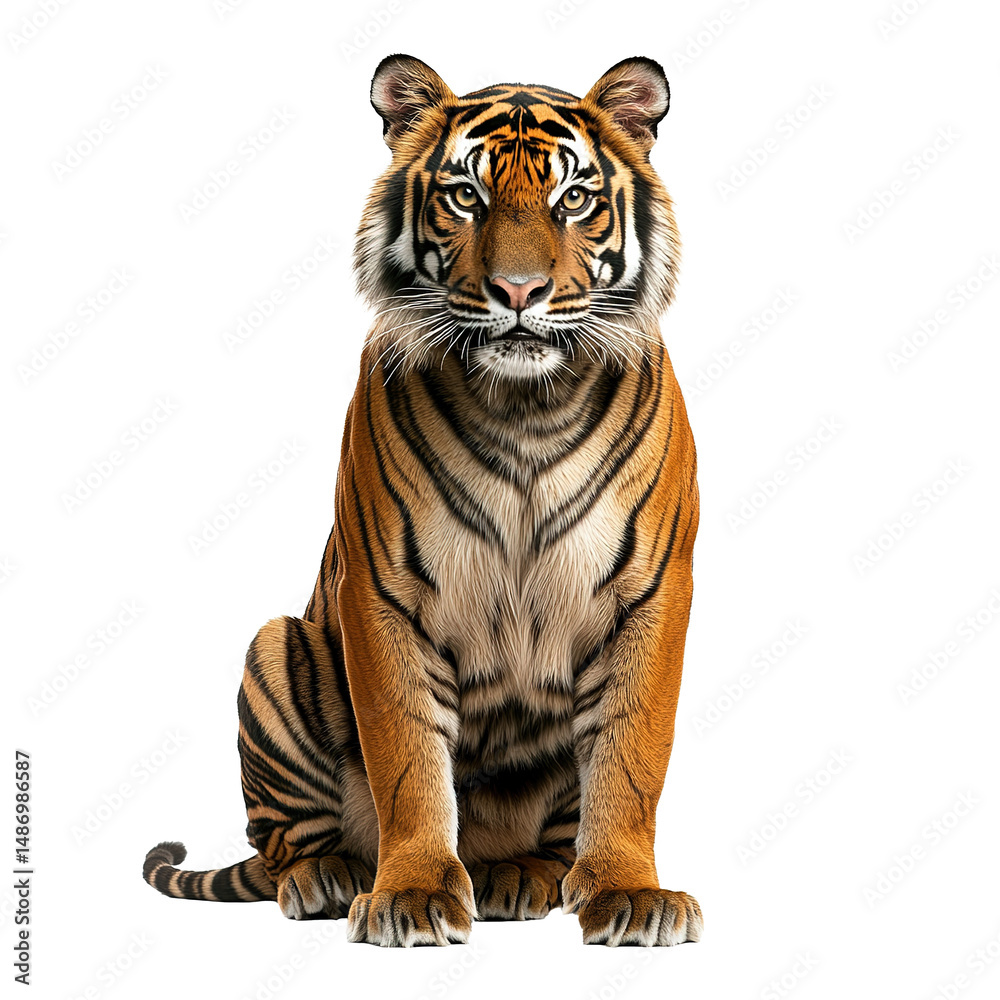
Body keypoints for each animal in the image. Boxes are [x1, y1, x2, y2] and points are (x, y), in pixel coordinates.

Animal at [143, 53, 702, 948]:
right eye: (465, 195)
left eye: (573, 199)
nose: (519, 291)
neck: (526, 406)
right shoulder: (382, 592)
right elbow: (406, 756)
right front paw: (409, 893)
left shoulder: (652, 592)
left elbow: (632, 754)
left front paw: (630, 892)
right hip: (276, 647)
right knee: (280, 843)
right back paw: (329, 876)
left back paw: (522, 875)